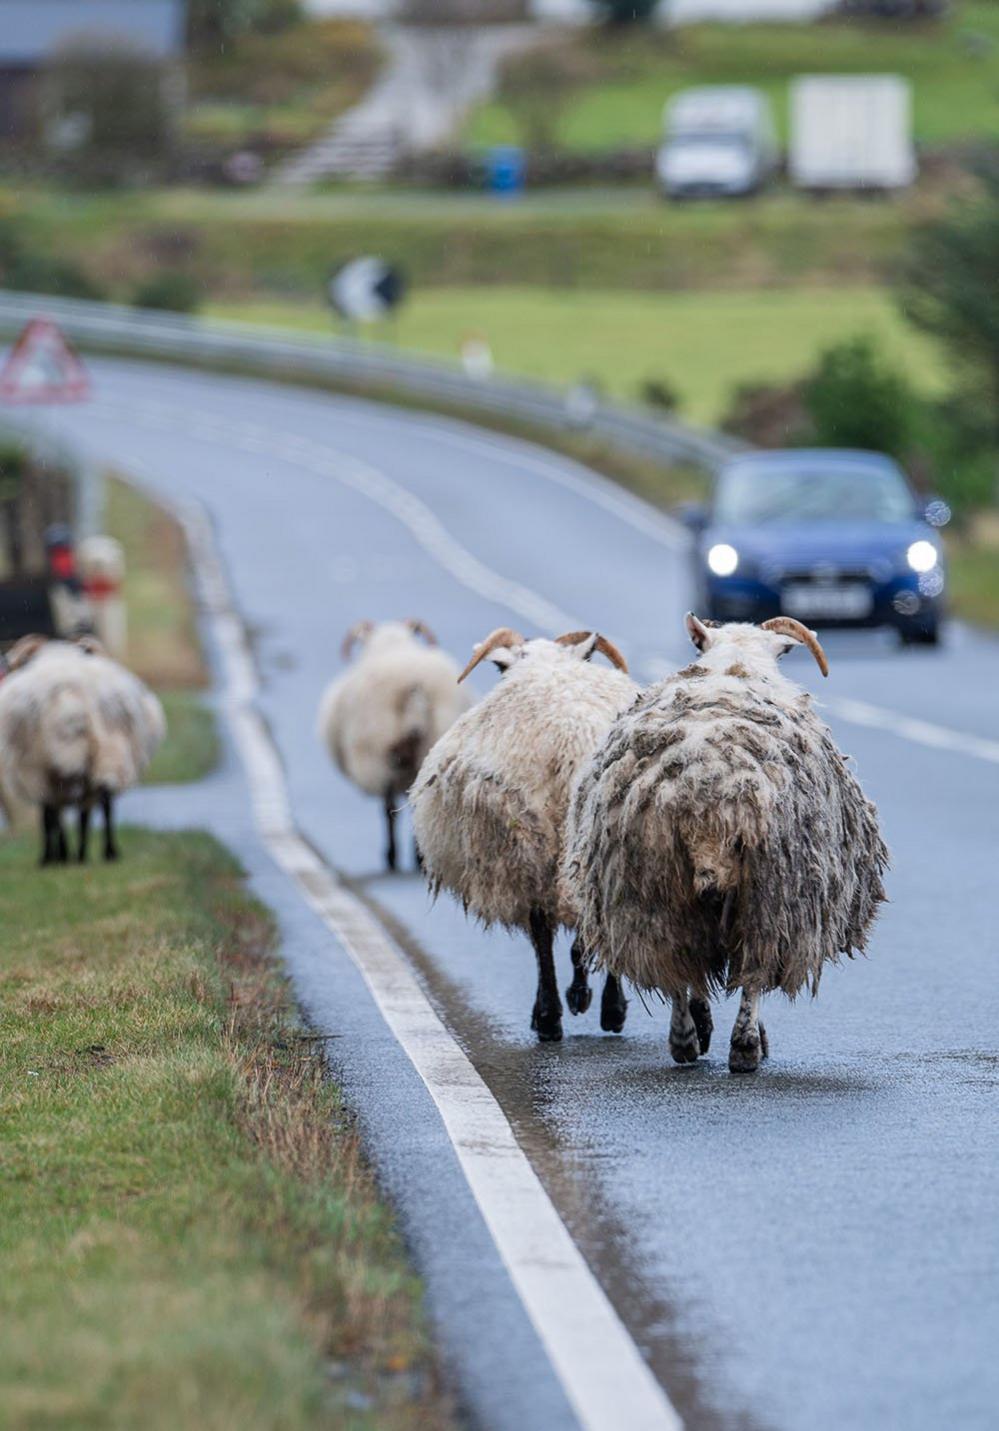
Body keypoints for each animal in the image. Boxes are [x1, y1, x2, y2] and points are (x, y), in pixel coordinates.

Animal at [0, 635, 165, 858]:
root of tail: (77, 695)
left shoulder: (39, 769)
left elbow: (50, 815)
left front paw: (55, 855)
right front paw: (64, 853)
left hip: (45, 762)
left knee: (59, 810)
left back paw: (61, 856)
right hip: (108, 749)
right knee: (100, 802)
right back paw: (100, 852)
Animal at [319, 618, 475, 870]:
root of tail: (415, 690)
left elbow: (388, 809)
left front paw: (392, 856)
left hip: (379, 751)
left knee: (389, 810)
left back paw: (394, 855)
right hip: (428, 749)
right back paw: (419, 857)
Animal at [561, 615, 887, 1076]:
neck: (736, 661)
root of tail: (707, 789)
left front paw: (704, 1026)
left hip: (653, 890)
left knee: (676, 964)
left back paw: (685, 1041)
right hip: (772, 892)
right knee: (753, 969)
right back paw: (742, 1047)